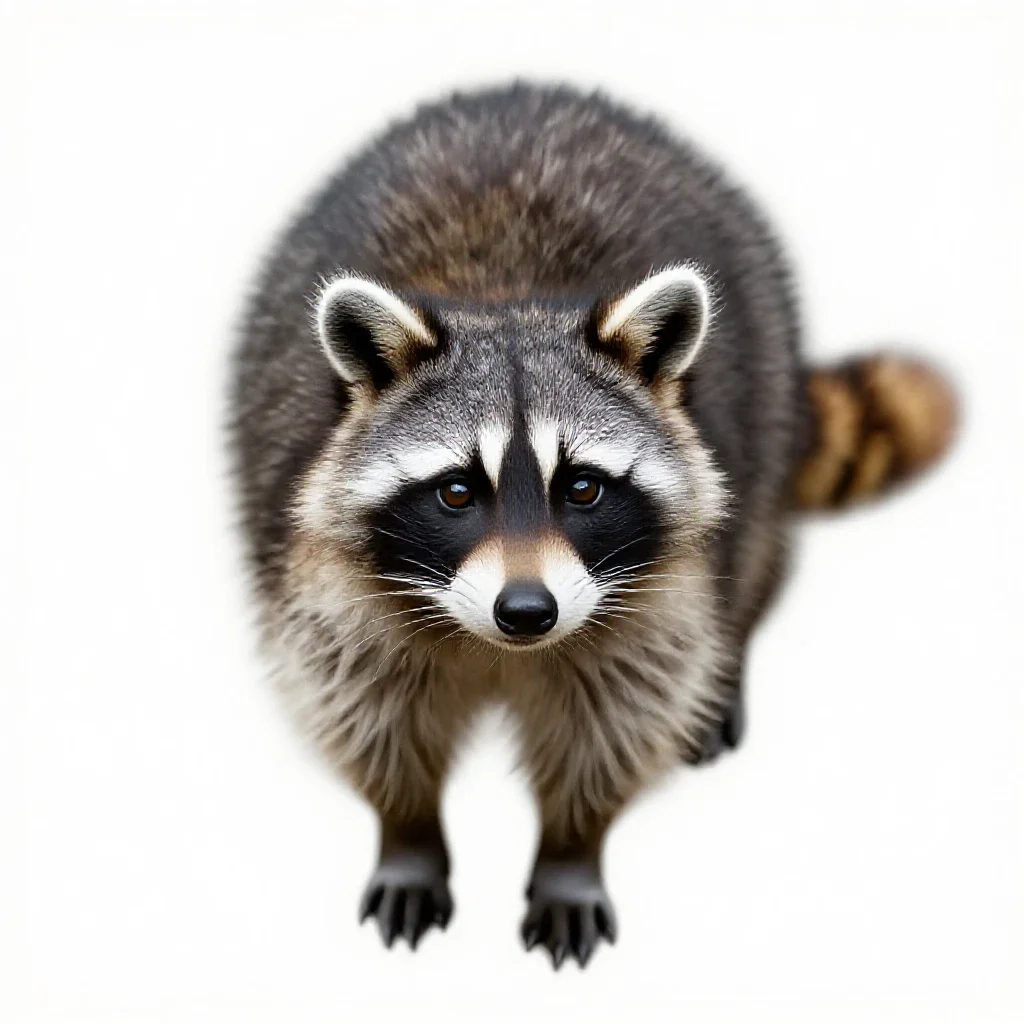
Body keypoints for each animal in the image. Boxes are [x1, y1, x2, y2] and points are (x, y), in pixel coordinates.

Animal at [228, 84, 957, 968]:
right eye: (456, 493)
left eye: (582, 487)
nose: (526, 612)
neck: (505, 298)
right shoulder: (333, 580)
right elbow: (369, 710)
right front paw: (407, 834)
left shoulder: (655, 590)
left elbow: (615, 721)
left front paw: (571, 853)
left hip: (763, 397)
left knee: (752, 562)